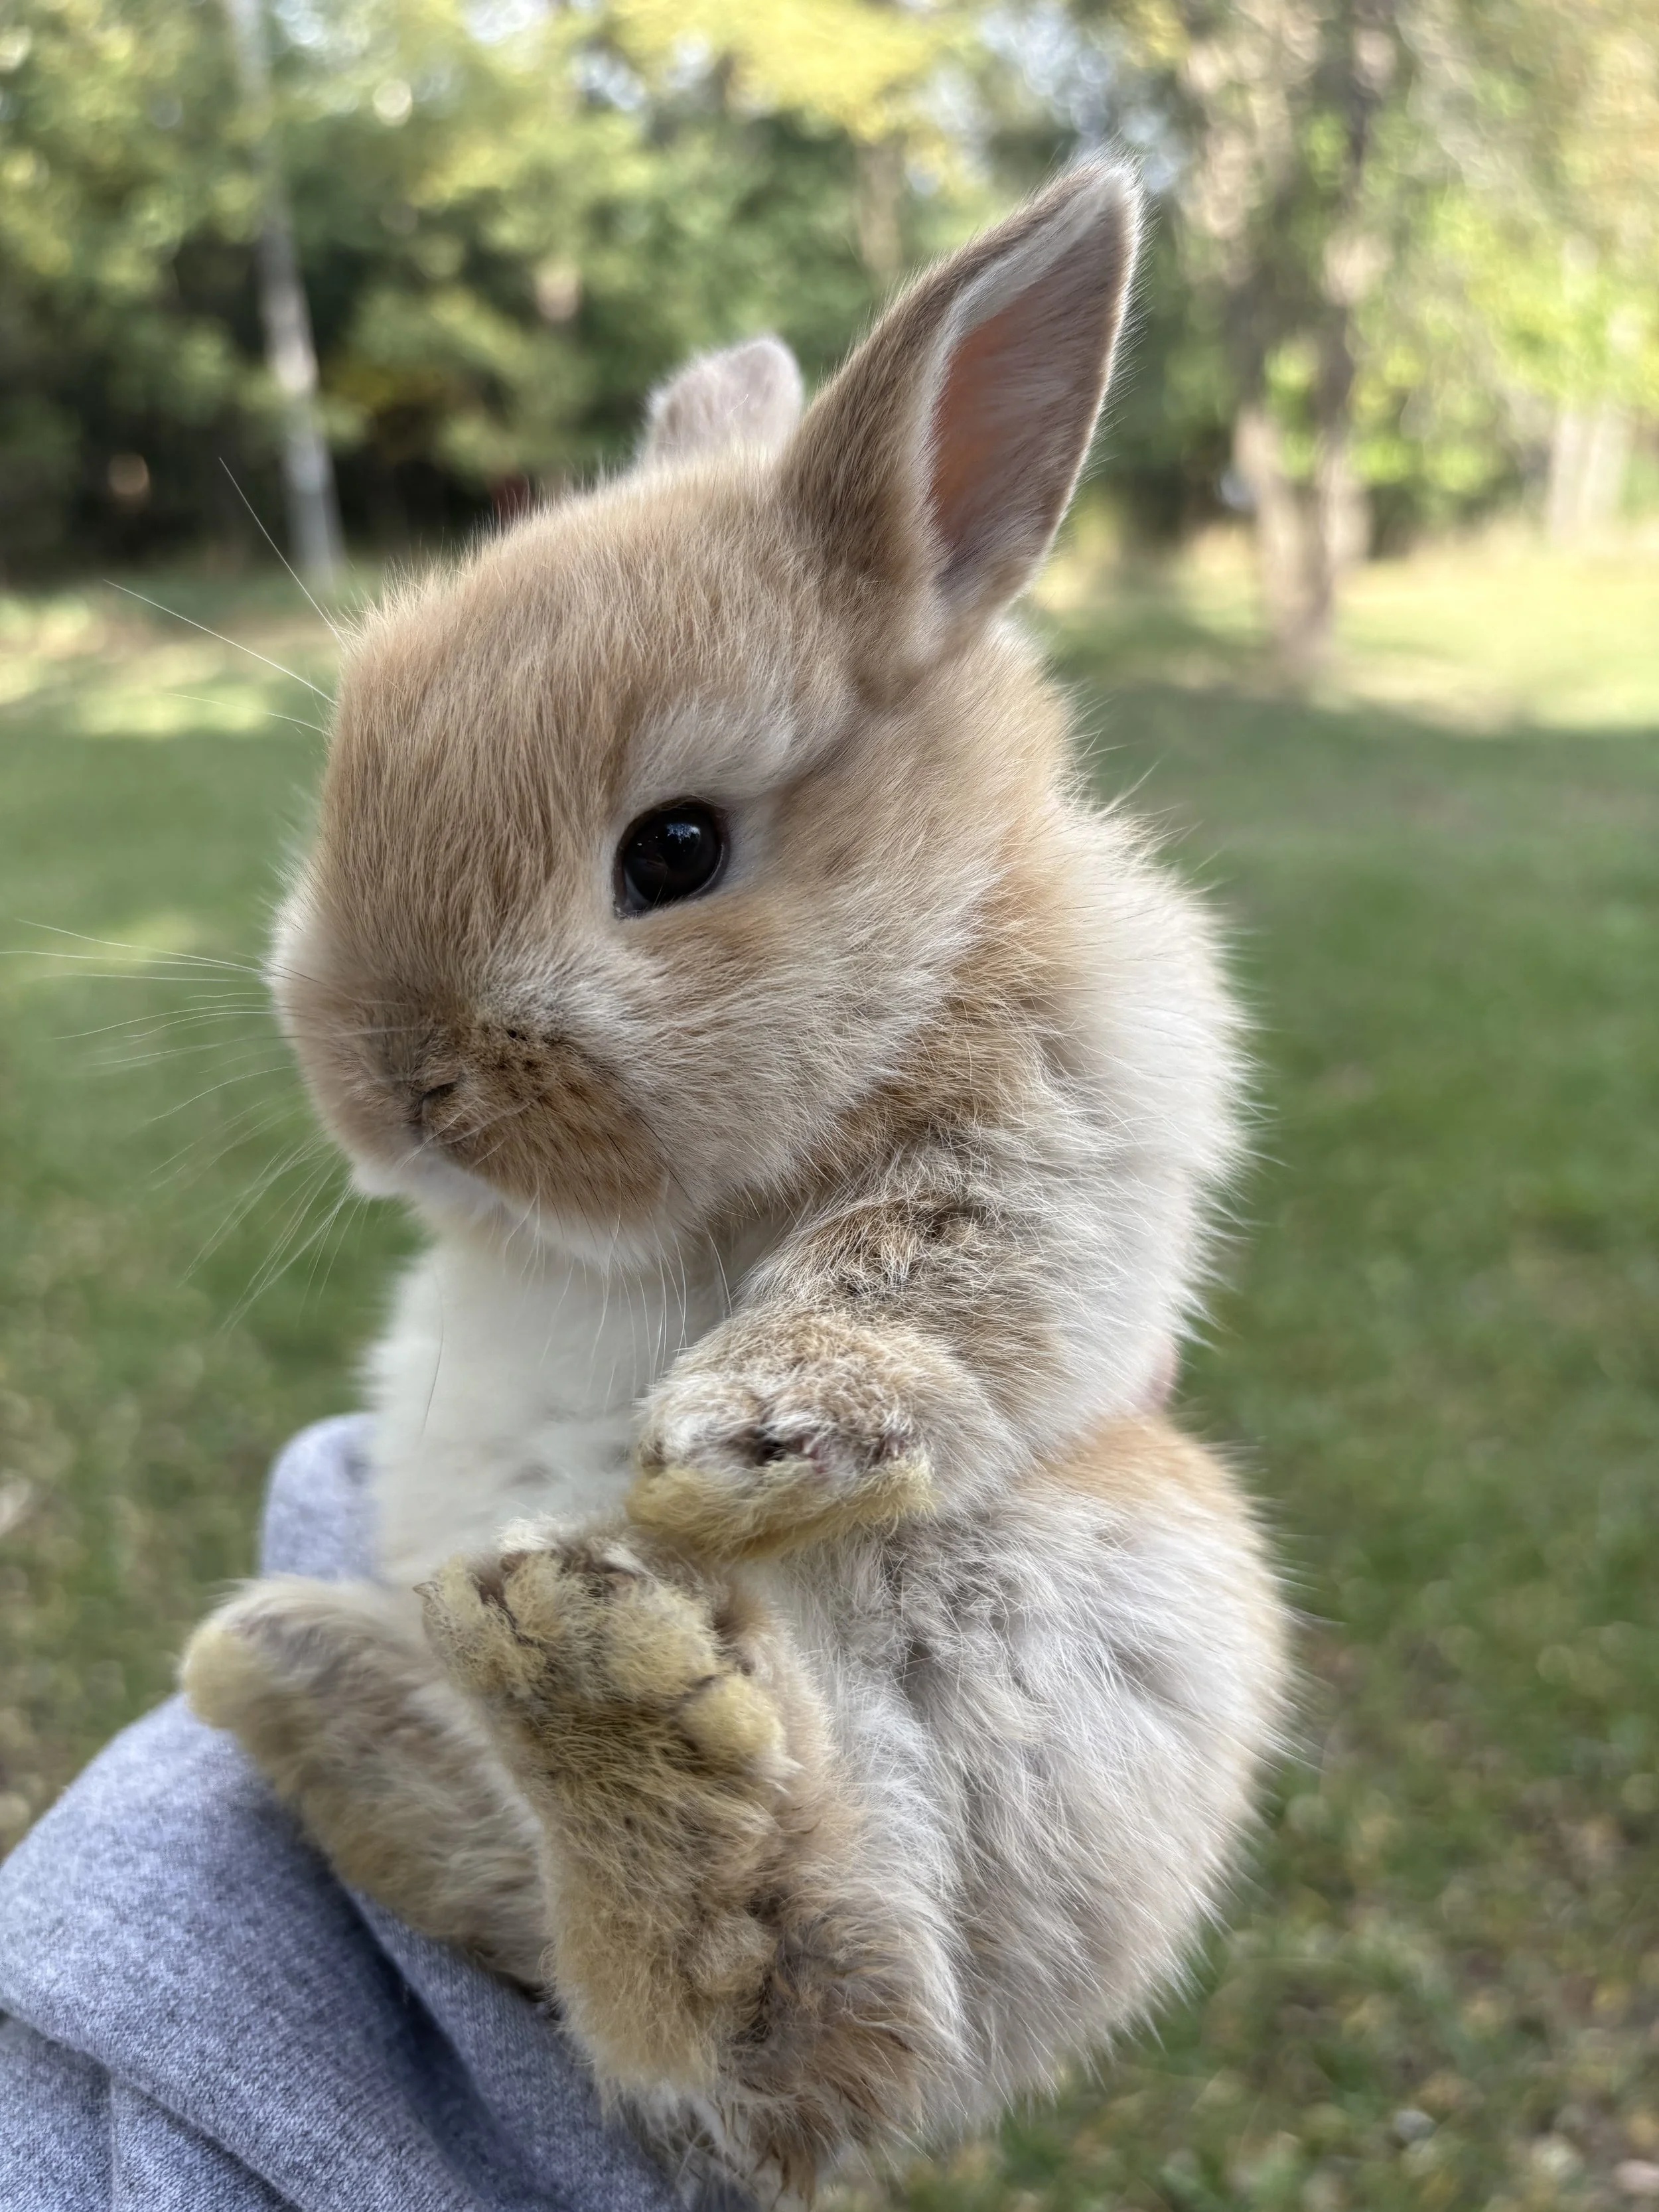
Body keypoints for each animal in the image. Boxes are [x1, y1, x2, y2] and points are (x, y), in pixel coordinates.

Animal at [182, 162, 1289, 2204]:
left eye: (676, 850)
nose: (392, 1084)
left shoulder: (1061, 1108)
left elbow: (931, 1260)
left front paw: (737, 1443)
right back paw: (363, 1676)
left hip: (1115, 1616)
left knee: (802, 2017)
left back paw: (613, 1712)